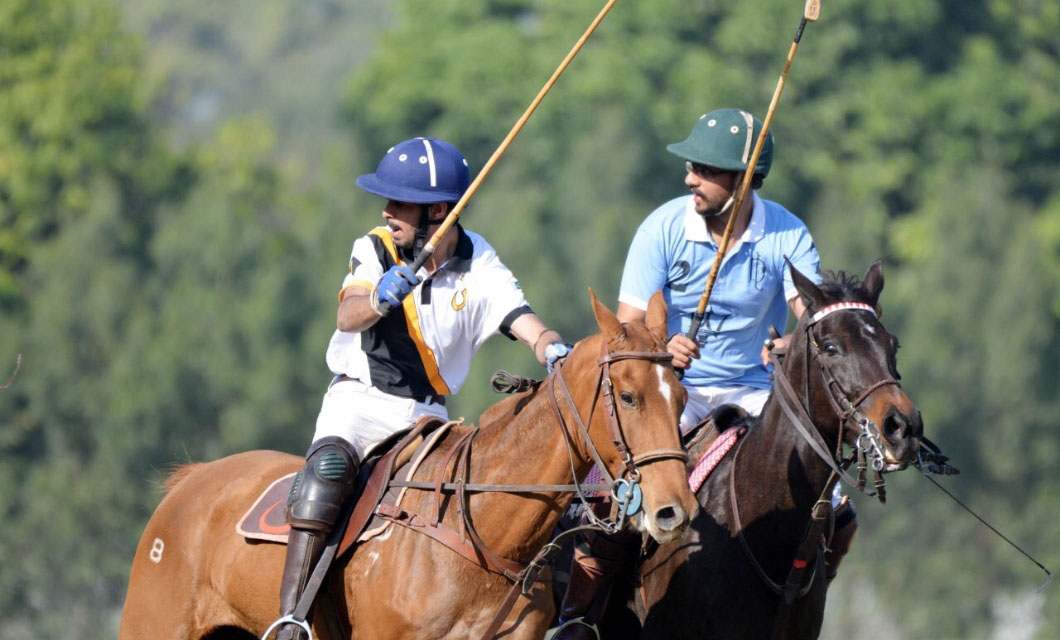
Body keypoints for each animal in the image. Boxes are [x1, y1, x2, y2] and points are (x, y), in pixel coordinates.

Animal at [120, 290, 699, 640]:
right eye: (629, 397)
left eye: (681, 395)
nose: (675, 510)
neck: (484, 532)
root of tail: (191, 480)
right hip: (152, 623)